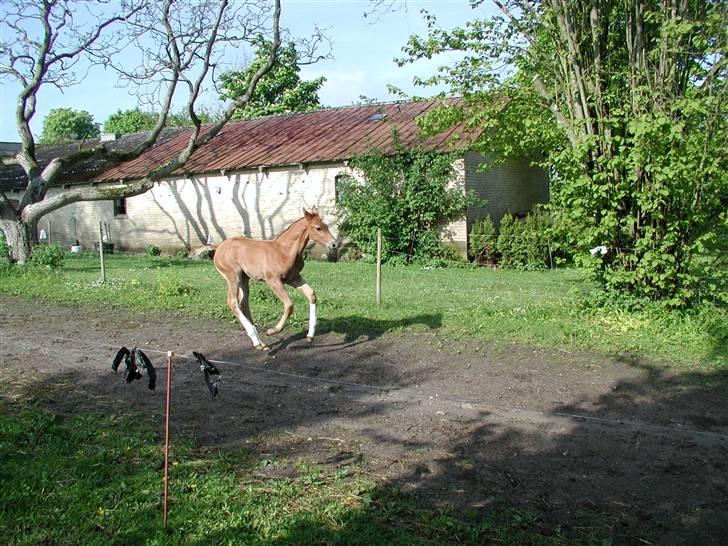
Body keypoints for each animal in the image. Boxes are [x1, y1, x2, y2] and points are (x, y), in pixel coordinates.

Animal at [213, 206, 338, 350]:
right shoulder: (273, 281)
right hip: (233, 276)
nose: (334, 244)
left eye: (326, 226)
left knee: (243, 303)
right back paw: (256, 340)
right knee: (232, 302)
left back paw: (261, 343)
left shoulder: (294, 278)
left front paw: (310, 336)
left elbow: (311, 294)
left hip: (244, 278)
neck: (285, 251)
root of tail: (218, 248)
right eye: (318, 228)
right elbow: (289, 305)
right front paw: (272, 331)